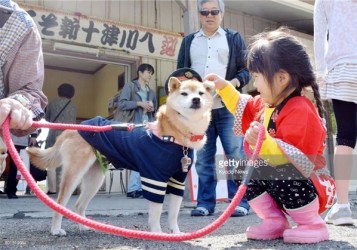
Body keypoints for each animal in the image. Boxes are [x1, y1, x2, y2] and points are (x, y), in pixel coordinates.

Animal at [27, 68, 213, 234]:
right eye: (184, 94)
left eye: (201, 93)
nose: (196, 100)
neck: (176, 134)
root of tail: (71, 128)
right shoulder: (155, 179)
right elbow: (156, 213)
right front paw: (158, 234)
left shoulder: (177, 181)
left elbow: (173, 215)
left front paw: (177, 234)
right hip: (75, 173)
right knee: (60, 202)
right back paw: (56, 230)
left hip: (95, 178)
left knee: (79, 204)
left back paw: (84, 227)